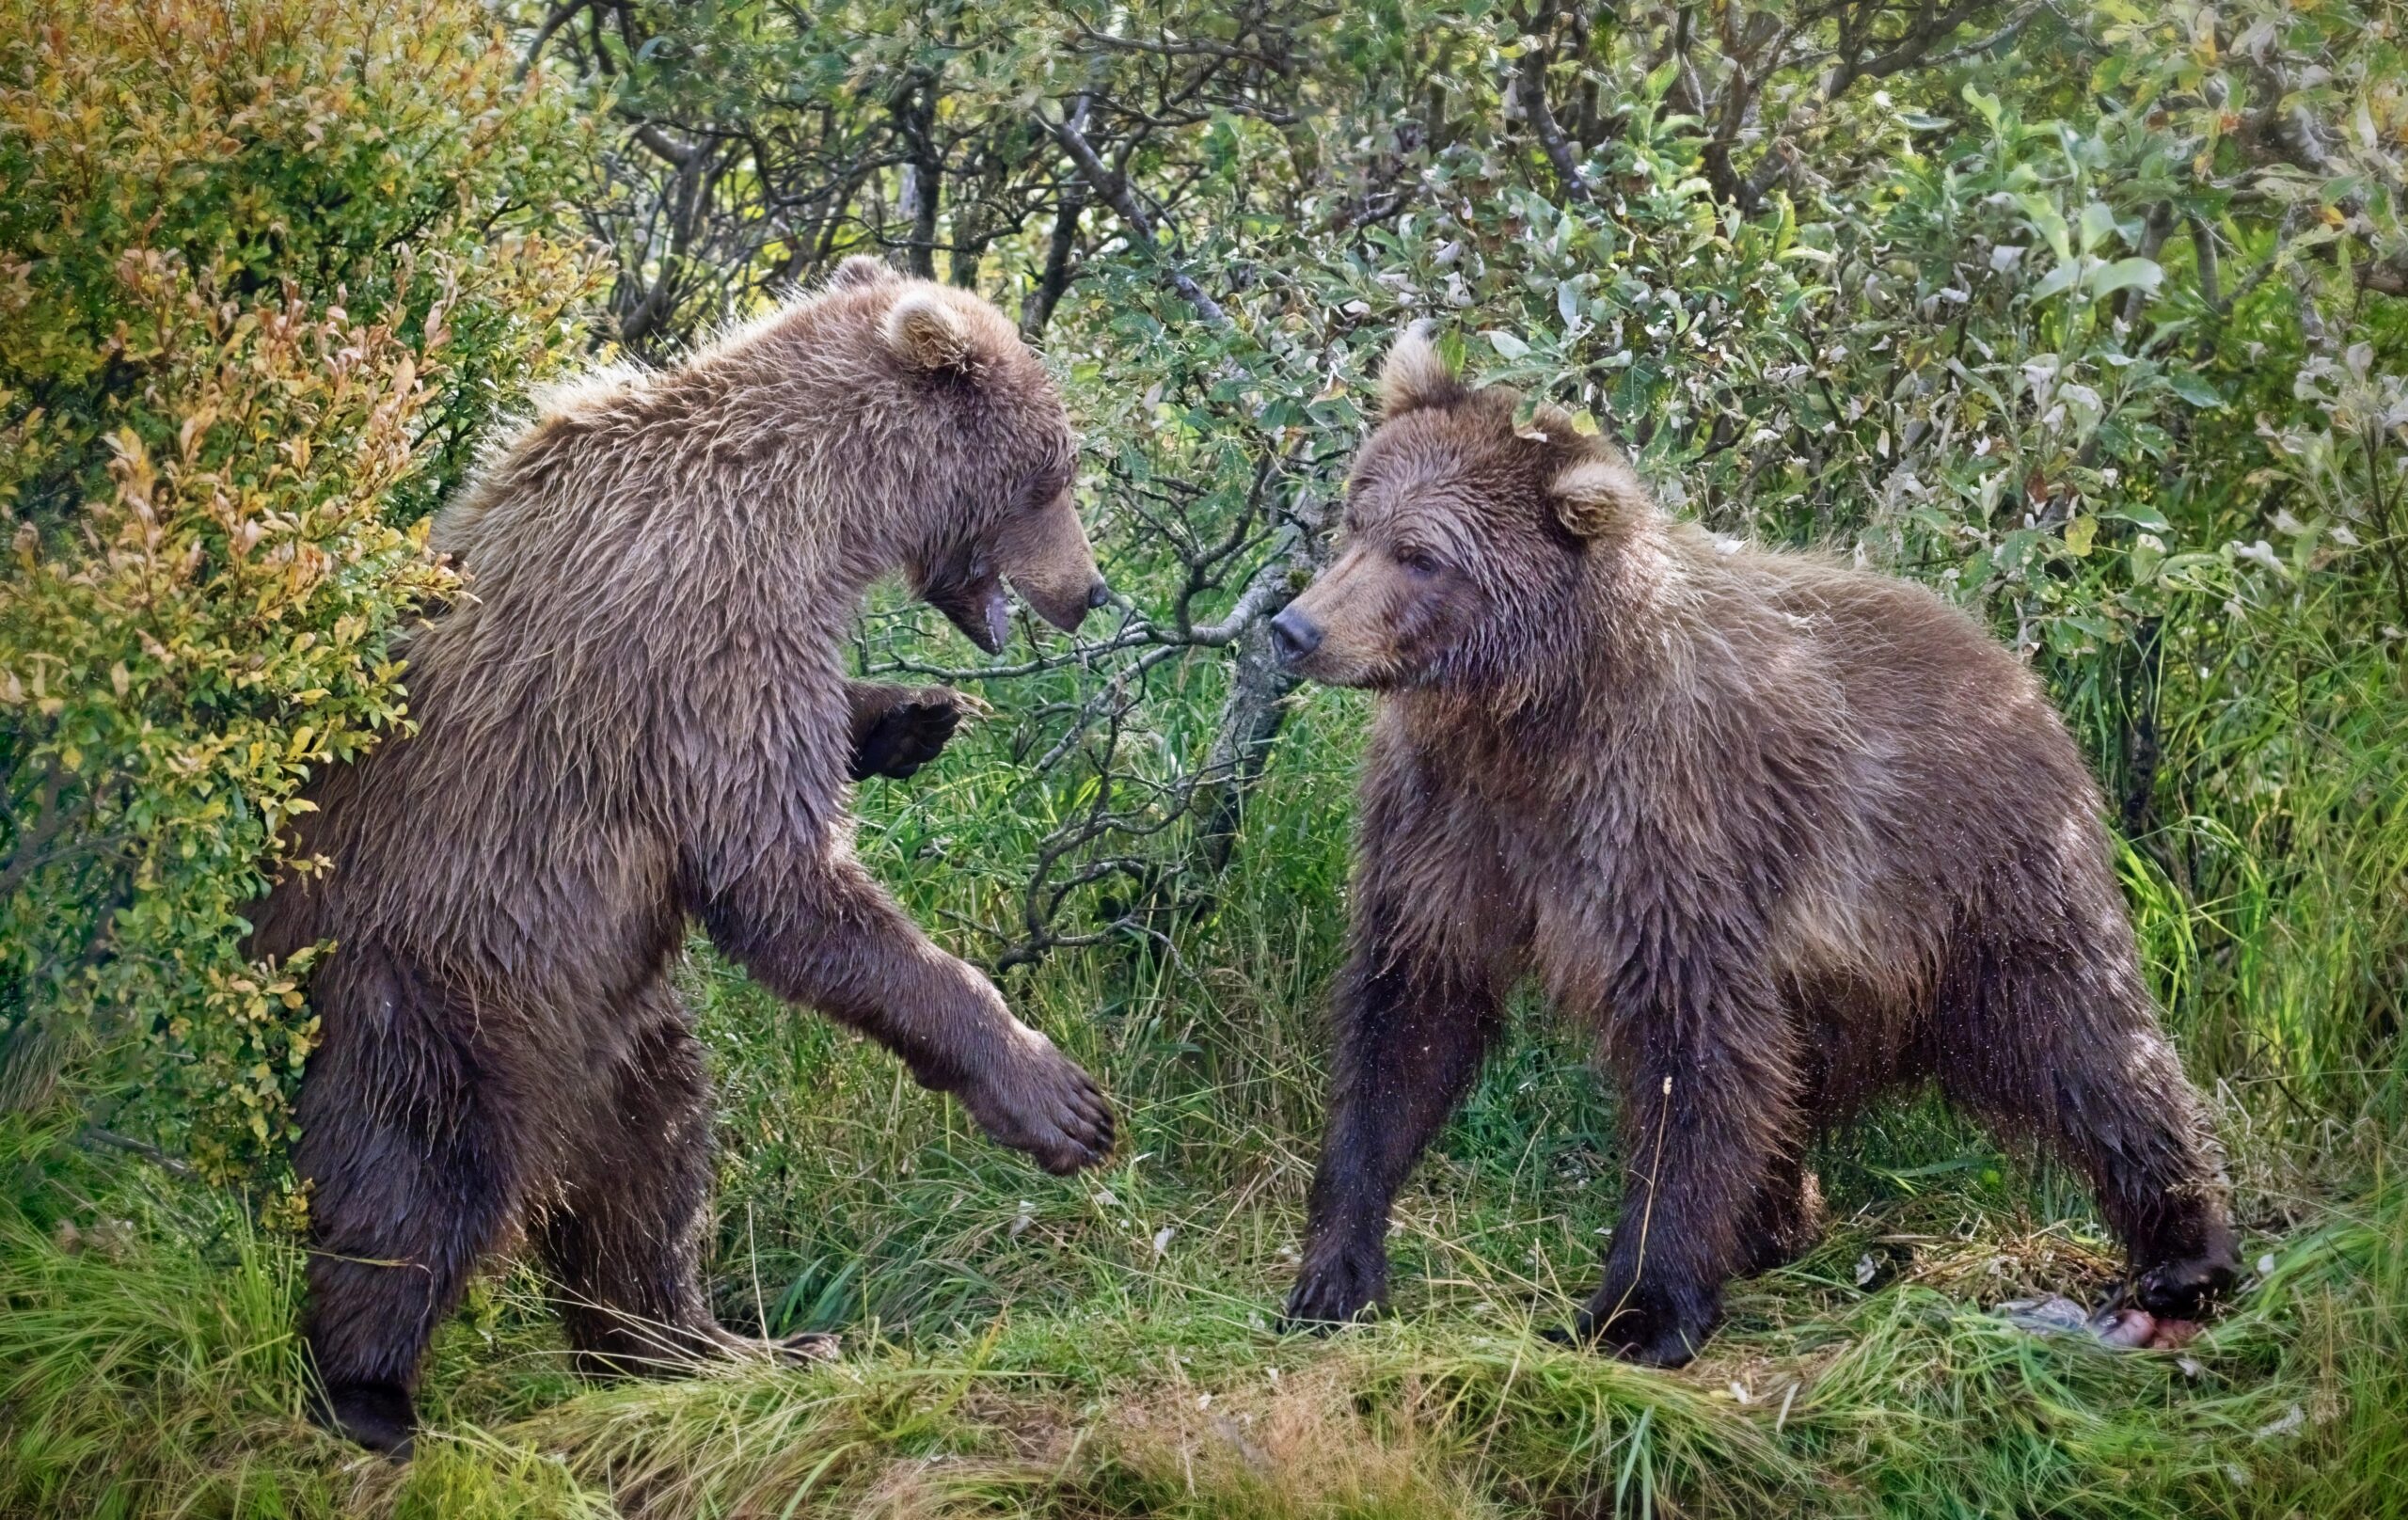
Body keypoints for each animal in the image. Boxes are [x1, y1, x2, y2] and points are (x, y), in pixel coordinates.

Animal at [248, 255, 1112, 1454]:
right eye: (1056, 469)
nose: (1093, 590)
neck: (818, 510)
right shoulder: (707, 629)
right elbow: (785, 881)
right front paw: (1054, 1095)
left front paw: (908, 714)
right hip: (433, 975)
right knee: (415, 1172)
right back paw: (369, 1396)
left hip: (611, 1026)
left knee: (654, 1171)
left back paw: (713, 1342)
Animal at [1280, 325, 2234, 1368]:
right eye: (1357, 516)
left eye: (1421, 553)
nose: (1295, 626)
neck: (1527, 716)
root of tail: (2013, 668)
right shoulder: (1446, 820)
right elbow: (1409, 1013)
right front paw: (1335, 1268)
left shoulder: (1666, 823)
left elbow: (1691, 1045)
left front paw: (1637, 1308)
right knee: (1795, 1074)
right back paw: (1775, 1219)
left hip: (1980, 875)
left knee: (2080, 1038)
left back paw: (2184, 1246)